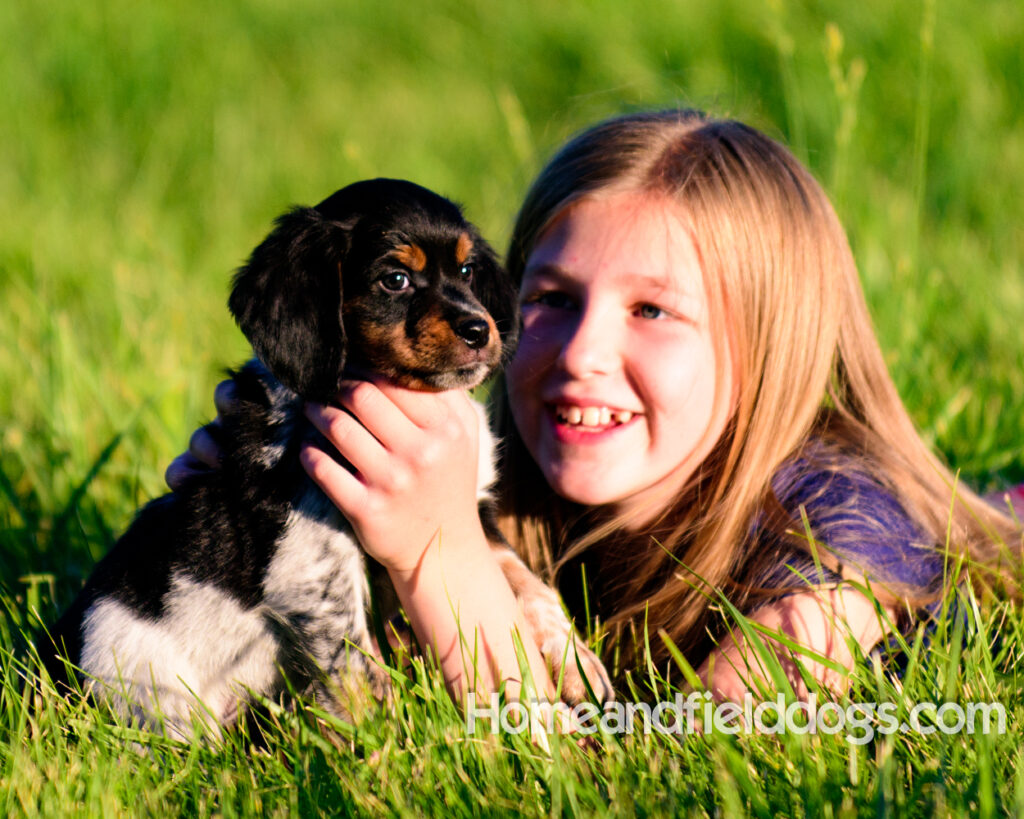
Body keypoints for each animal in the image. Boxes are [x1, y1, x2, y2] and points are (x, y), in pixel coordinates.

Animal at [44, 179, 610, 737]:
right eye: (395, 279)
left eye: (468, 271)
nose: (479, 329)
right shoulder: (313, 564)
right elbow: (359, 672)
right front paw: (383, 748)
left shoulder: (473, 511)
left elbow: (527, 582)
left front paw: (576, 668)